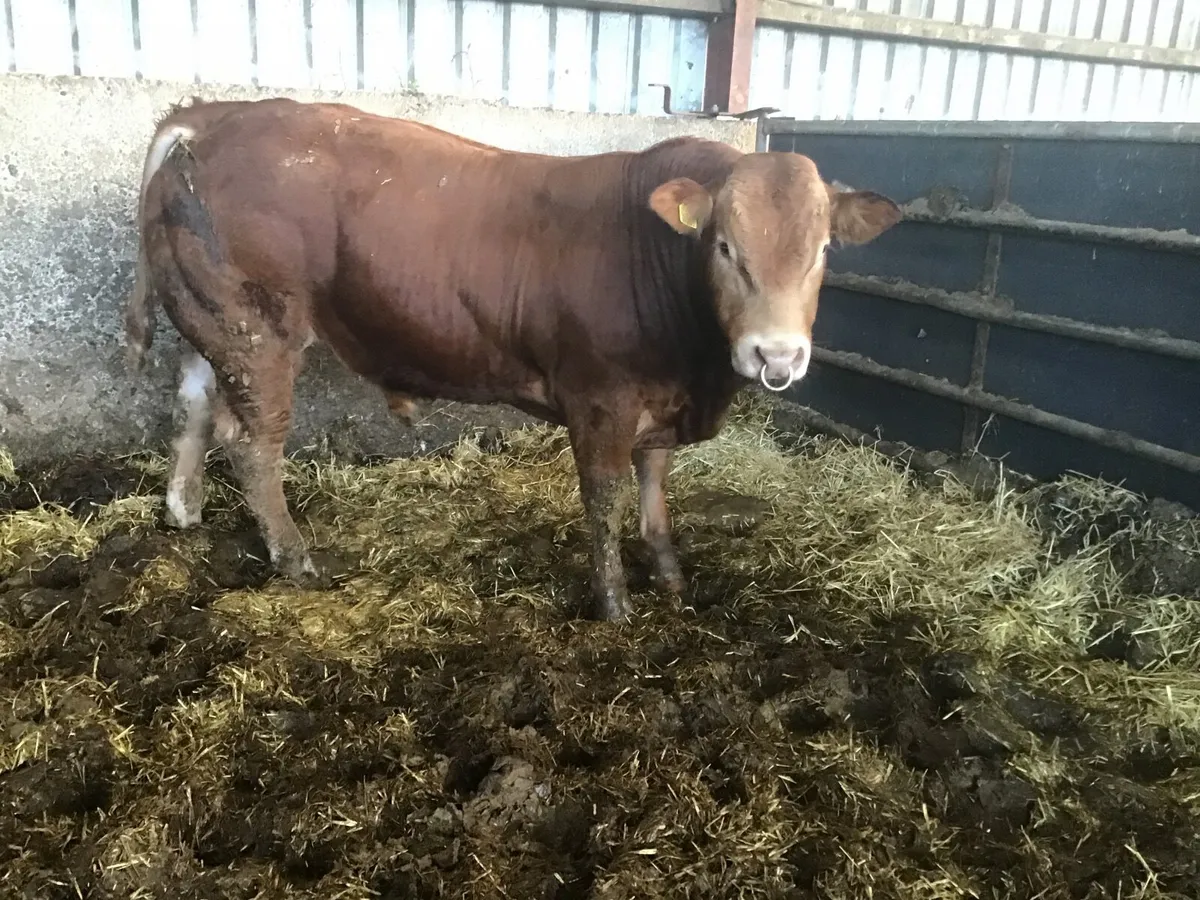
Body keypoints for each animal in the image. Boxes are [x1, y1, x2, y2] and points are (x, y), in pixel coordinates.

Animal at [123, 97, 900, 622]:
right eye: (725, 247)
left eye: (822, 249)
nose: (777, 353)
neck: (697, 369)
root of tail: (212, 115)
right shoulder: (600, 396)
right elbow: (604, 496)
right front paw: (615, 603)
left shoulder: (660, 398)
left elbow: (654, 485)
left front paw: (671, 575)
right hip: (259, 330)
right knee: (253, 444)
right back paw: (296, 558)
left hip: (211, 322)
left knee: (192, 404)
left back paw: (183, 510)